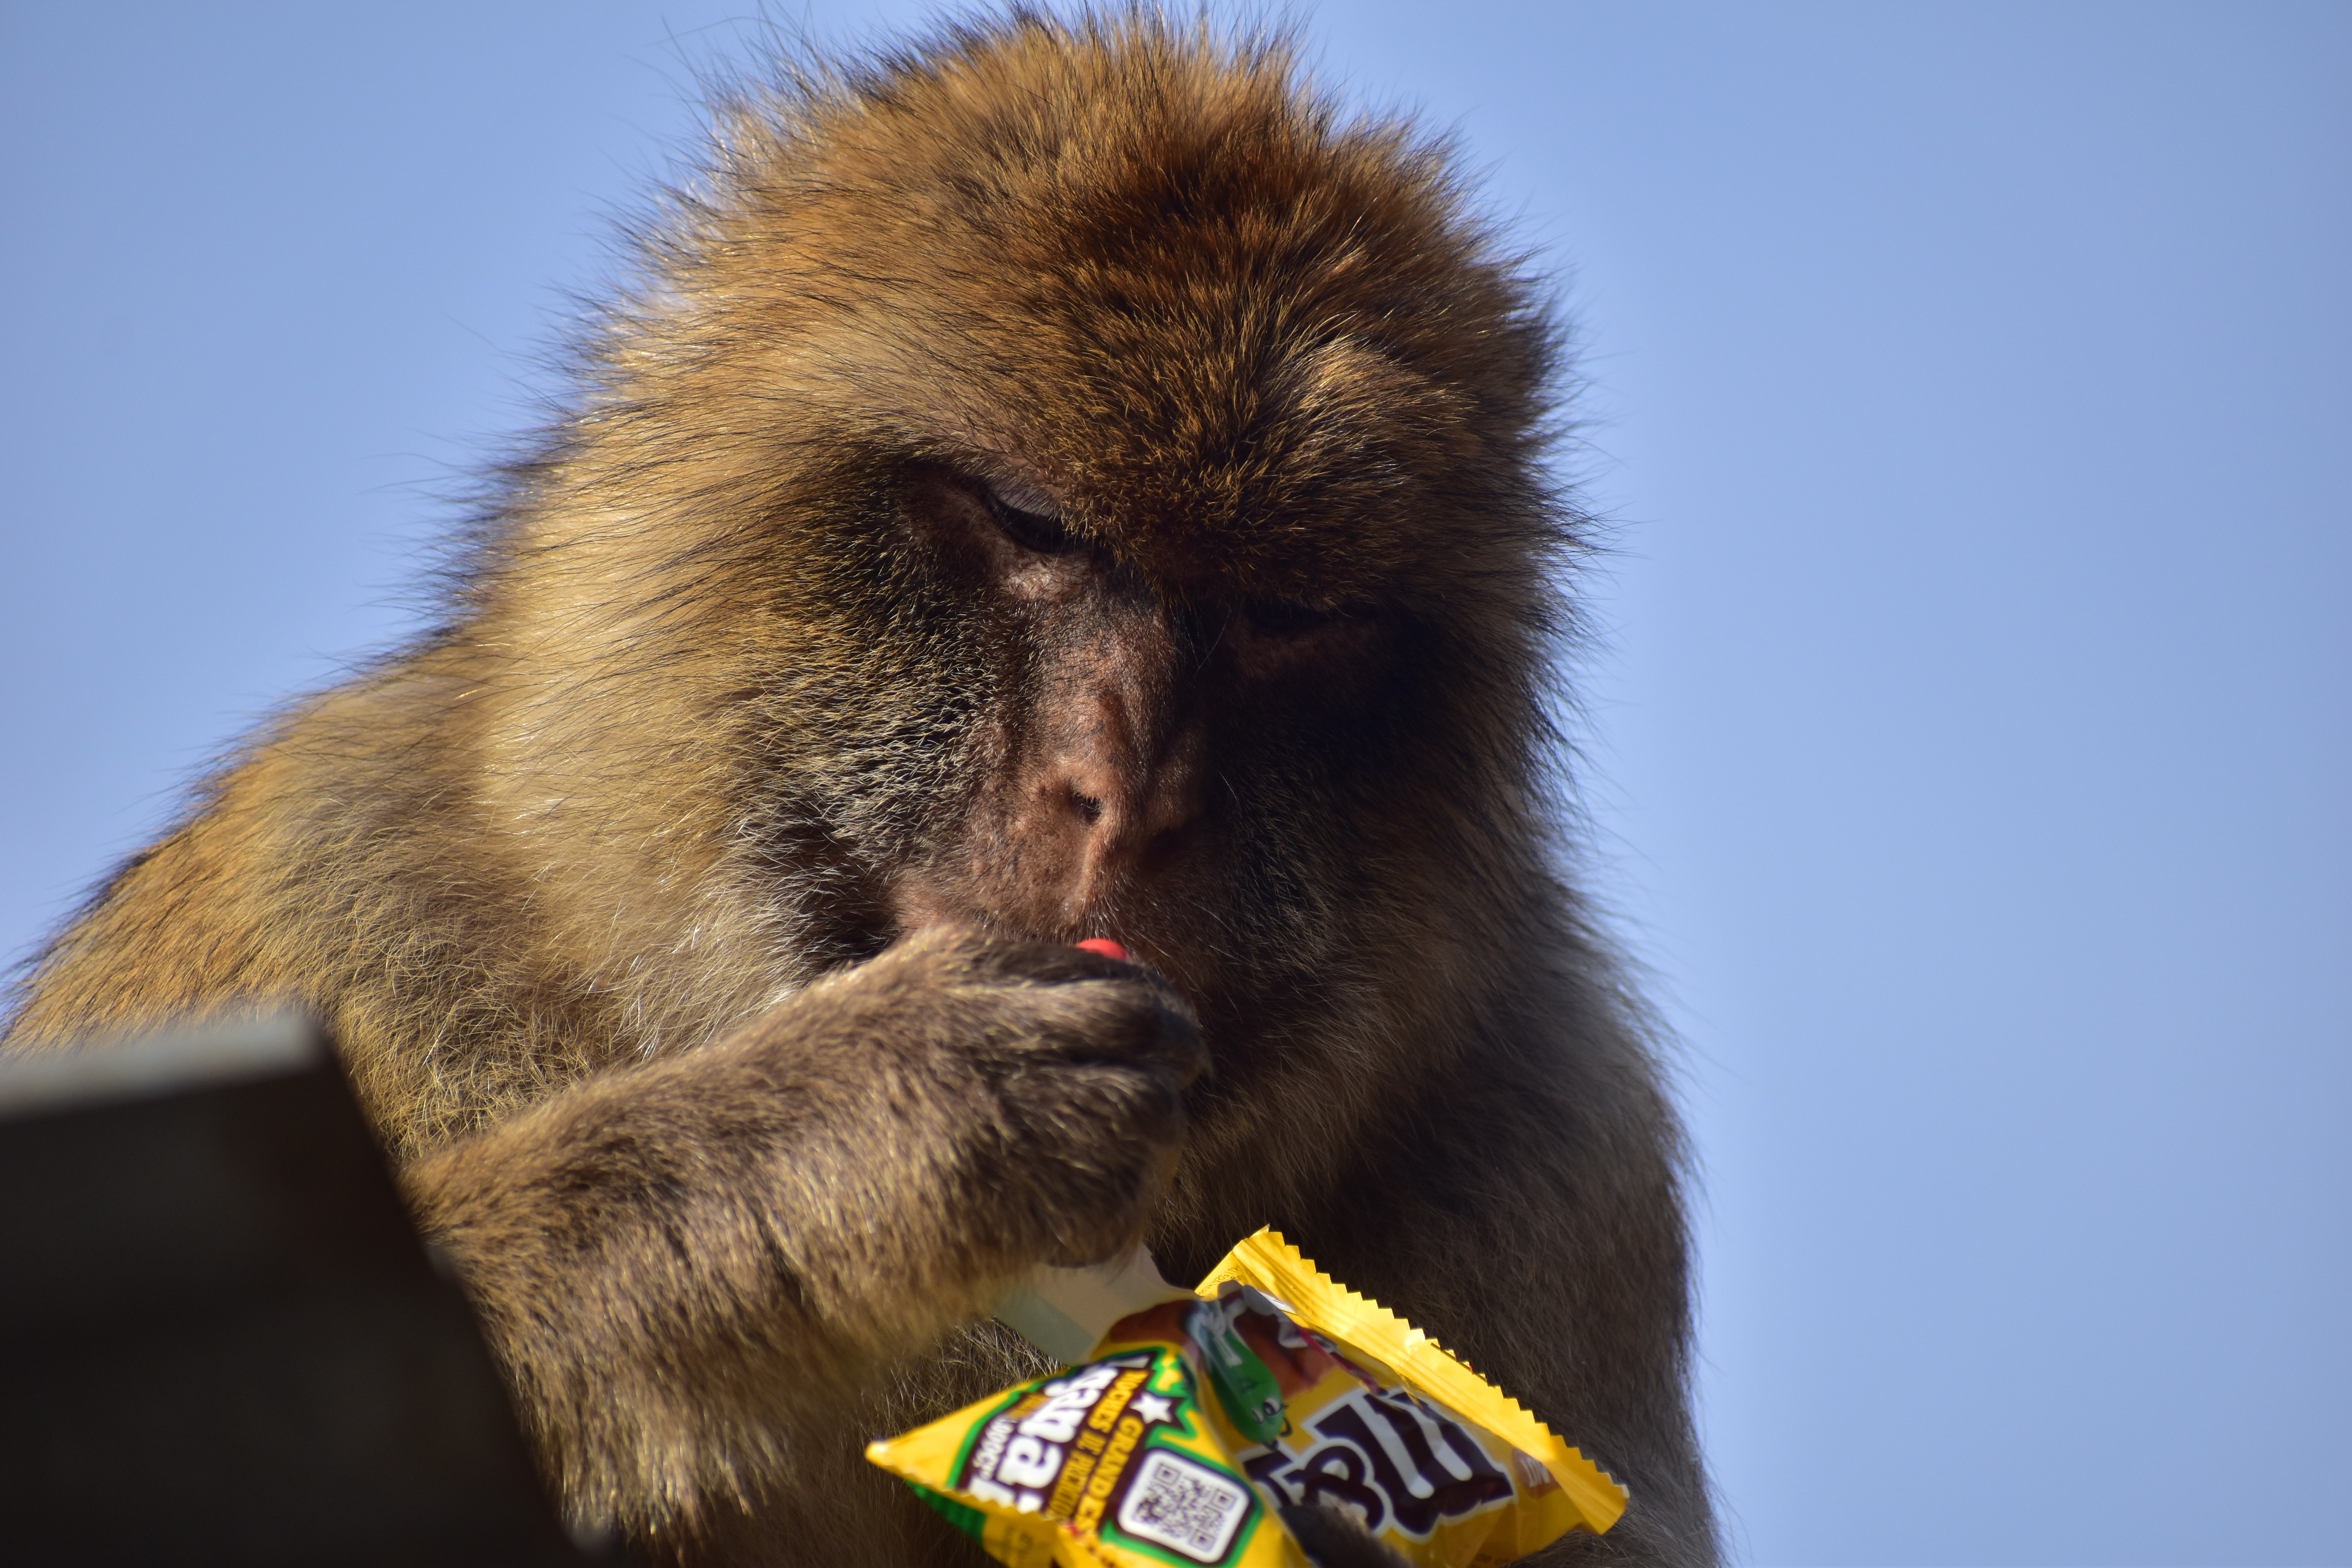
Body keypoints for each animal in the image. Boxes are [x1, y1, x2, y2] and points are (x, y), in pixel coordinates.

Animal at [2, 13, 1714, 1568]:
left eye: (1292, 614)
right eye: (1028, 521)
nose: (1122, 795)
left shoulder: (1562, 1148)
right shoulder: (329, 892)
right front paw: (837, 1130)